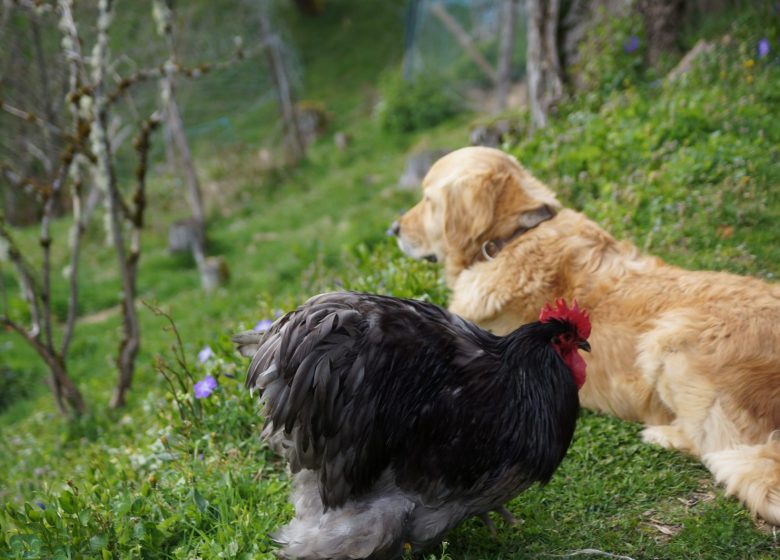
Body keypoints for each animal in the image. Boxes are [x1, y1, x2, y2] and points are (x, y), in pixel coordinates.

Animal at [394, 144, 780, 524]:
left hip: (668, 338)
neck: (512, 238)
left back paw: (661, 435)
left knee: (715, 449)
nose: (393, 229)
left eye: (427, 200)